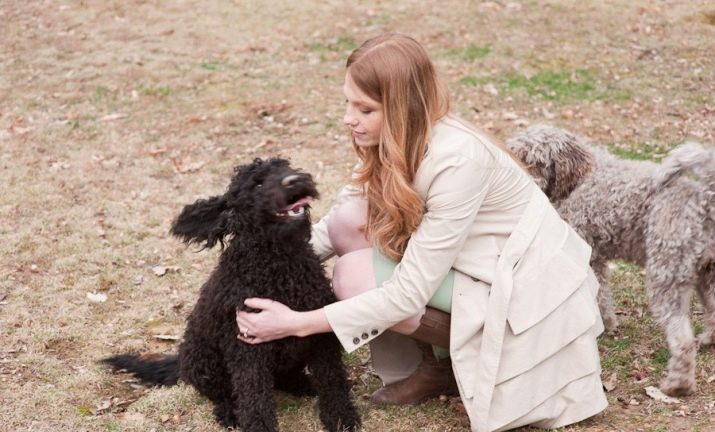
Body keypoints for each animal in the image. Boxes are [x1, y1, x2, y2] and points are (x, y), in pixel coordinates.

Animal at [103, 158, 360, 431]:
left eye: (286, 167)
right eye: (257, 184)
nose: (294, 181)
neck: (280, 262)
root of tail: (182, 362)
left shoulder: (319, 336)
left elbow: (332, 380)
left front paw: (341, 417)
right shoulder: (247, 348)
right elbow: (253, 396)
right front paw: (259, 427)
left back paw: (302, 384)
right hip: (206, 363)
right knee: (224, 394)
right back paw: (230, 413)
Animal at [507, 125, 715, 396]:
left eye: (536, 162)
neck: (579, 179)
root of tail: (704, 200)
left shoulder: (588, 254)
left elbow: (598, 296)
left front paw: (601, 324)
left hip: (666, 276)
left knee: (682, 338)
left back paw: (677, 385)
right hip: (707, 275)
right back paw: (708, 341)